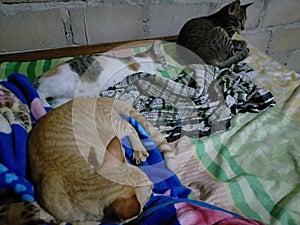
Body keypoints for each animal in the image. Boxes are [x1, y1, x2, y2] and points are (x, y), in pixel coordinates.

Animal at [27, 96, 176, 223]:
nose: (153, 185)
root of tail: (95, 97)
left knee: (130, 127)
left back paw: (138, 149)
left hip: (115, 126)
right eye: (149, 191)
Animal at [35, 40, 168, 108]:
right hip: (61, 84)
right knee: (39, 93)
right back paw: (43, 105)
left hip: (66, 97)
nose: (167, 64)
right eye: (163, 58)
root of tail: (40, 77)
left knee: (55, 104)